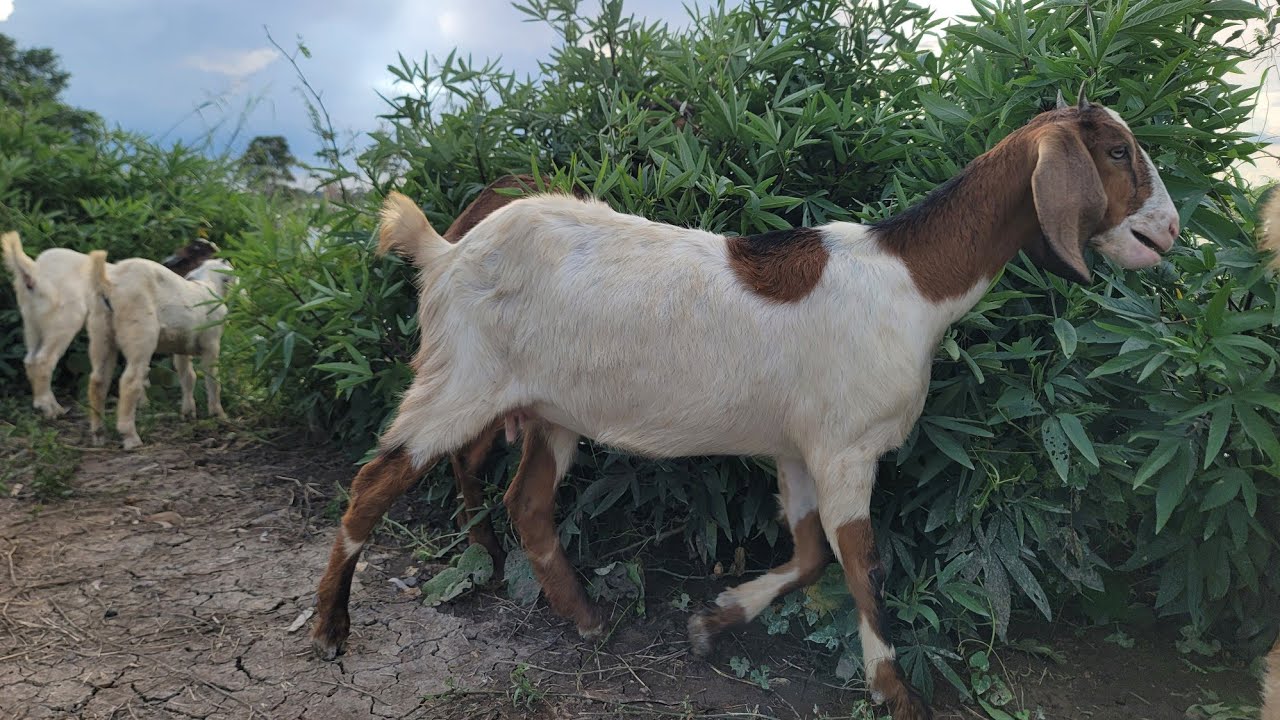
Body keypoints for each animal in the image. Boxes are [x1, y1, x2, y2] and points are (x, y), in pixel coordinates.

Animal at [2, 234, 224, 418]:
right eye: (200, 251)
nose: (222, 254)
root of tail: (32, 272)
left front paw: (142, 403)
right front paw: (144, 403)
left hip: (33, 322)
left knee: (30, 360)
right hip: (63, 319)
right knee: (43, 361)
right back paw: (52, 409)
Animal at [86, 251, 234, 449]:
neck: (208, 286)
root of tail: (107, 282)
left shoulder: (181, 347)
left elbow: (188, 377)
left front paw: (188, 413)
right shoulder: (211, 343)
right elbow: (213, 380)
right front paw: (219, 414)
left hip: (100, 333)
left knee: (98, 382)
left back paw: (99, 434)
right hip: (140, 332)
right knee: (130, 381)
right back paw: (131, 437)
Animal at [310, 94, 1179, 720]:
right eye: (1116, 151)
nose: (1170, 230)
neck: (911, 281)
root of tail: (446, 250)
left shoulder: (798, 447)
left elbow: (810, 556)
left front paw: (714, 619)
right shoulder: (845, 447)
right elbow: (862, 565)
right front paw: (895, 691)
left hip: (548, 409)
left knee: (526, 502)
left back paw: (584, 616)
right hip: (460, 381)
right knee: (374, 483)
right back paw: (330, 630)